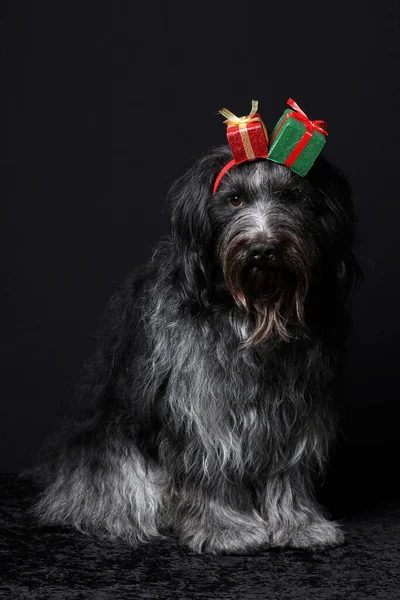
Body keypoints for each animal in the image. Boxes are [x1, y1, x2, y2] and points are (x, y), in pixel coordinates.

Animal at [32, 148, 360, 556]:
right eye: (234, 199)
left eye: (291, 197)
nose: (263, 249)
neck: (255, 312)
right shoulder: (201, 404)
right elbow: (210, 463)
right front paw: (225, 528)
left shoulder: (298, 407)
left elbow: (290, 469)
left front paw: (300, 524)